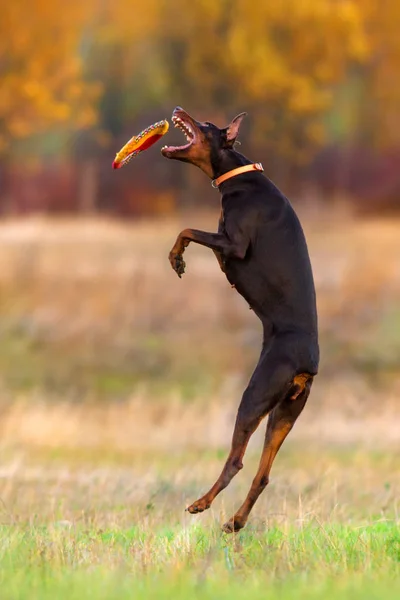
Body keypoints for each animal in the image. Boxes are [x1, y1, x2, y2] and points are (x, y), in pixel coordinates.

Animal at [161, 105, 320, 532]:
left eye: (204, 124)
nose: (179, 109)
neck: (239, 175)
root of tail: (307, 364)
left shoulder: (233, 244)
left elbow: (187, 229)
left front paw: (177, 258)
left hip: (254, 397)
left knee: (235, 460)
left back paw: (201, 503)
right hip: (285, 413)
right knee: (262, 474)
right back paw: (235, 521)